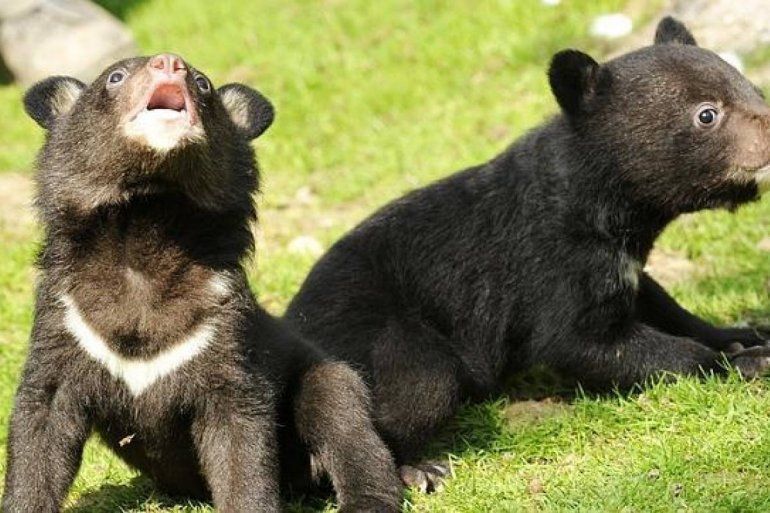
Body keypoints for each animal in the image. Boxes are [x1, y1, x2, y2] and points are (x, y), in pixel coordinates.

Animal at [2, 54, 401, 512]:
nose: (169, 62)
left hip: (323, 376)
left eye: (203, 83)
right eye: (115, 77)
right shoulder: (66, 323)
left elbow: (241, 443)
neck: (147, 225)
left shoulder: (222, 337)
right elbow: (40, 428)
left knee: (344, 419)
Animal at [285, 17, 770, 490]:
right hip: (377, 337)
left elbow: (657, 301)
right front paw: (744, 361)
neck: (605, 208)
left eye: (754, 89)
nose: (769, 131)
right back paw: (416, 468)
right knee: (420, 385)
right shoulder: (553, 264)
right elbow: (583, 342)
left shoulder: (619, 264)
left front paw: (745, 333)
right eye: (707, 114)